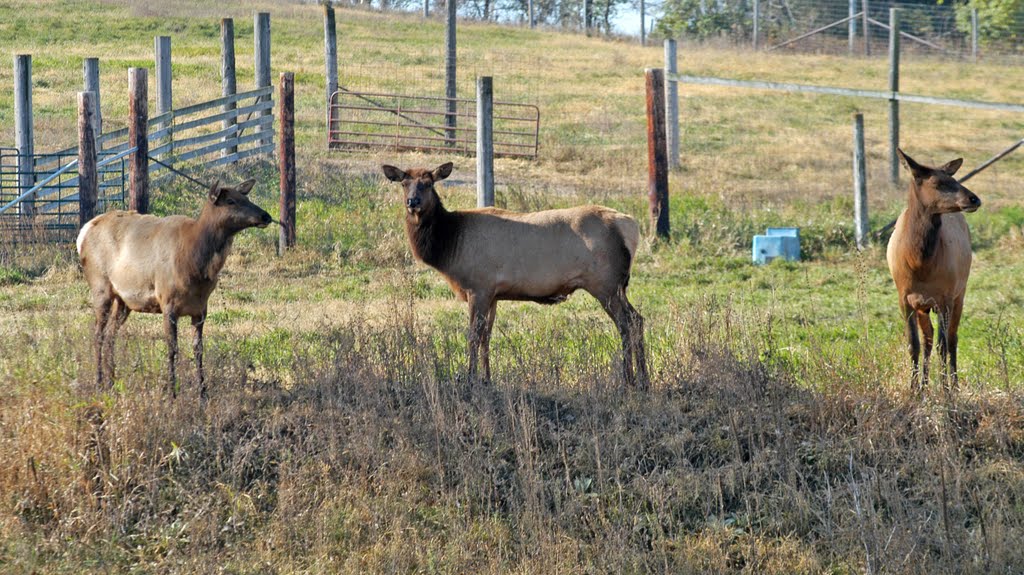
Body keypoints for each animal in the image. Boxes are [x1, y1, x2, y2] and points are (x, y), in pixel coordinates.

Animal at [77, 177, 272, 396]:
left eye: (246, 197)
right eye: (231, 201)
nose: (266, 215)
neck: (196, 264)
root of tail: (83, 233)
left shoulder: (201, 308)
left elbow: (198, 349)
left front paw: (202, 393)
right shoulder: (167, 302)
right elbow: (172, 348)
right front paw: (172, 392)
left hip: (124, 300)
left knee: (111, 334)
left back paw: (112, 383)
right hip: (100, 286)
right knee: (98, 334)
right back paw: (99, 383)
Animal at [385, 158, 647, 386]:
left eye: (429, 183)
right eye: (404, 183)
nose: (413, 202)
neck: (449, 245)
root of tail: (631, 228)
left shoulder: (478, 286)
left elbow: (473, 335)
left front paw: (470, 378)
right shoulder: (492, 293)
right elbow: (486, 337)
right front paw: (487, 378)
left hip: (604, 283)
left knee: (626, 324)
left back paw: (628, 380)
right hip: (617, 285)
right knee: (638, 319)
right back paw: (643, 381)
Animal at [884, 147, 978, 388]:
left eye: (954, 179)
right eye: (937, 183)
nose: (974, 199)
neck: (919, 263)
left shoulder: (945, 298)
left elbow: (942, 346)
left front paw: (946, 391)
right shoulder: (905, 298)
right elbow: (914, 344)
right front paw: (913, 390)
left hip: (960, 293)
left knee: (952, 338)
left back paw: (954, 384)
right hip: (924, 307)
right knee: (928, 338)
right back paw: (924, 387)